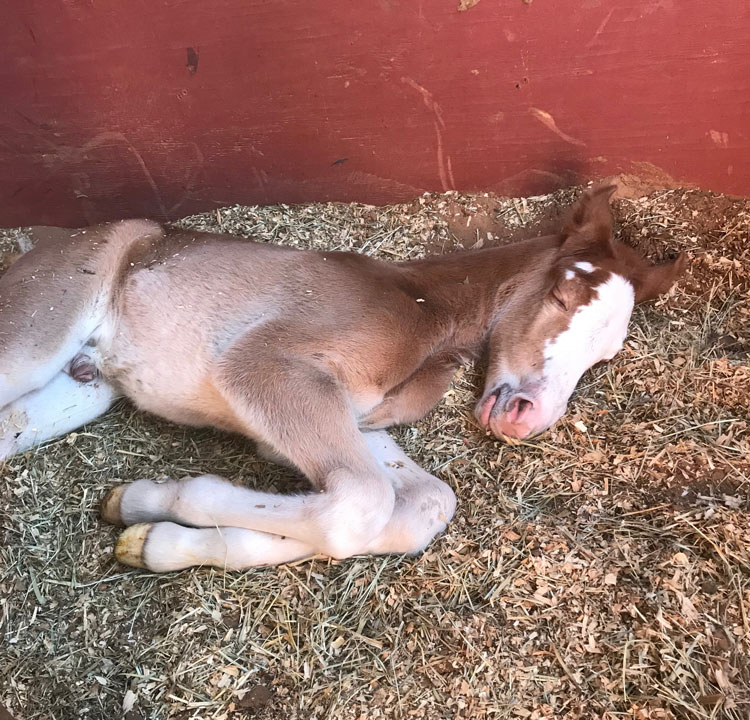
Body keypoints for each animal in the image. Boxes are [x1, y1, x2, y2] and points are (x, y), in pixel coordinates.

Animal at [0, 188, 680, 572]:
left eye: (607, 355)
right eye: (563, 294)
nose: (528, 415)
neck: (426, 309)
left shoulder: (351, 417)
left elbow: (419, 506)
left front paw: (148, 531)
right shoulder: (268, 367)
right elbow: (359, 506)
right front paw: (160, 502)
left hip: (84, 387)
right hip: (41, 324)